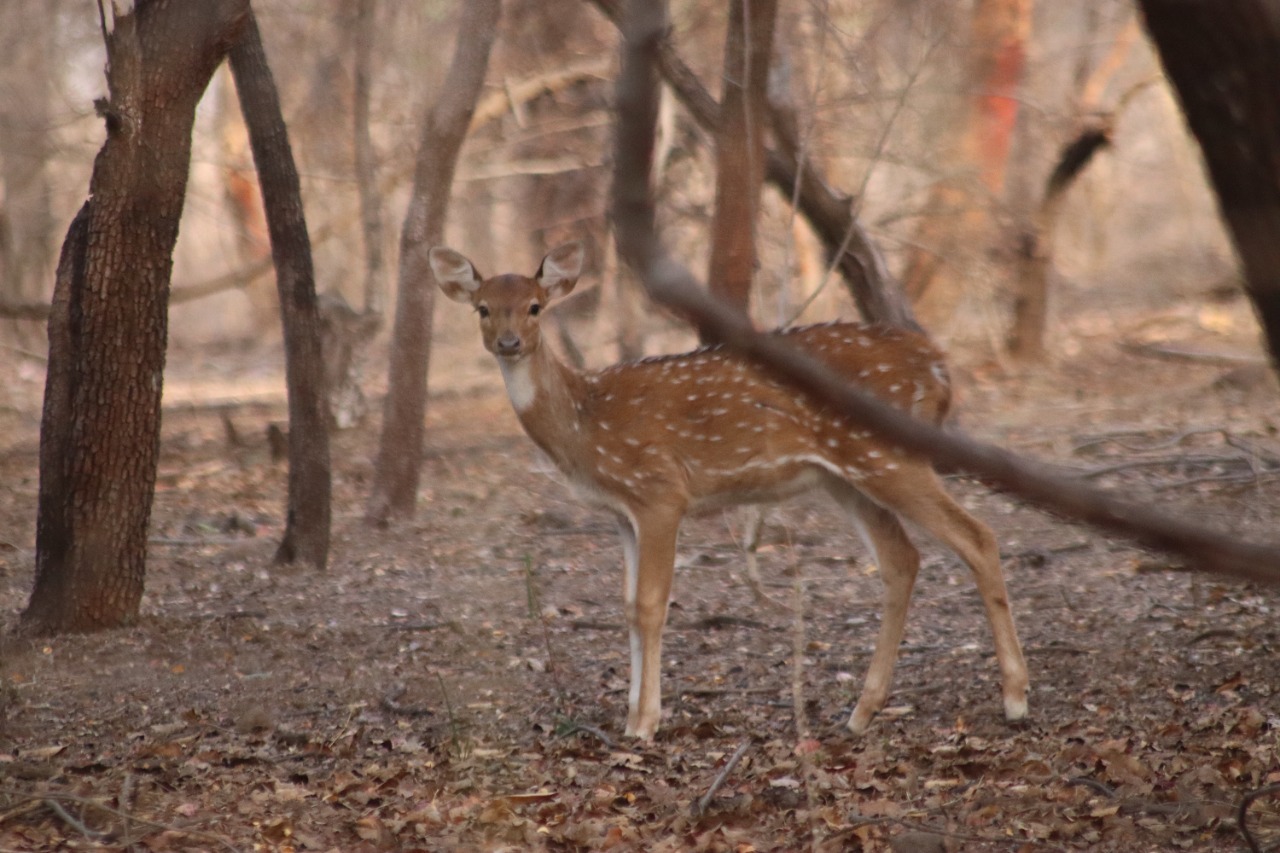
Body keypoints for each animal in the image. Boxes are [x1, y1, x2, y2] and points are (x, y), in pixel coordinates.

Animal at [432, 239, 1029, 737]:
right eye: (483, 307)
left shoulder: (660, 491)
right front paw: (630, 716)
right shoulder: (621, 513)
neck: (585, 424)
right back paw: (861, 712)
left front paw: (644, 725)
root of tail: (940, 367)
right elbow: (626, 606)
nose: (508, 342)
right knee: (902, 559)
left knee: (977, 536)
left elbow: (651, 604)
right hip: (845, 475)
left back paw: (1016, 699)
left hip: (888, 456)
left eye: (535, 306)